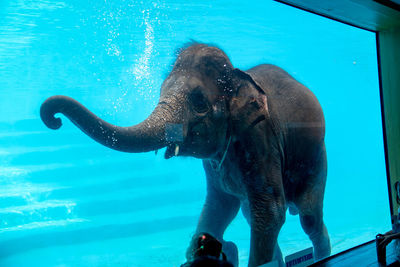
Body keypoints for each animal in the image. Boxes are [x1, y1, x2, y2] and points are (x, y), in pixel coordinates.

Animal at [40, 43, 332, 267]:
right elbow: (218, 207)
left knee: (308, 217)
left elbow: (270, 211)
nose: (54, 119)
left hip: (317, 158)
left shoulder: (259, 136)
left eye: (200, 103)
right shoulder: (213, 165)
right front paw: (220, 246)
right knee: (252, 214)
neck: (237, 77)